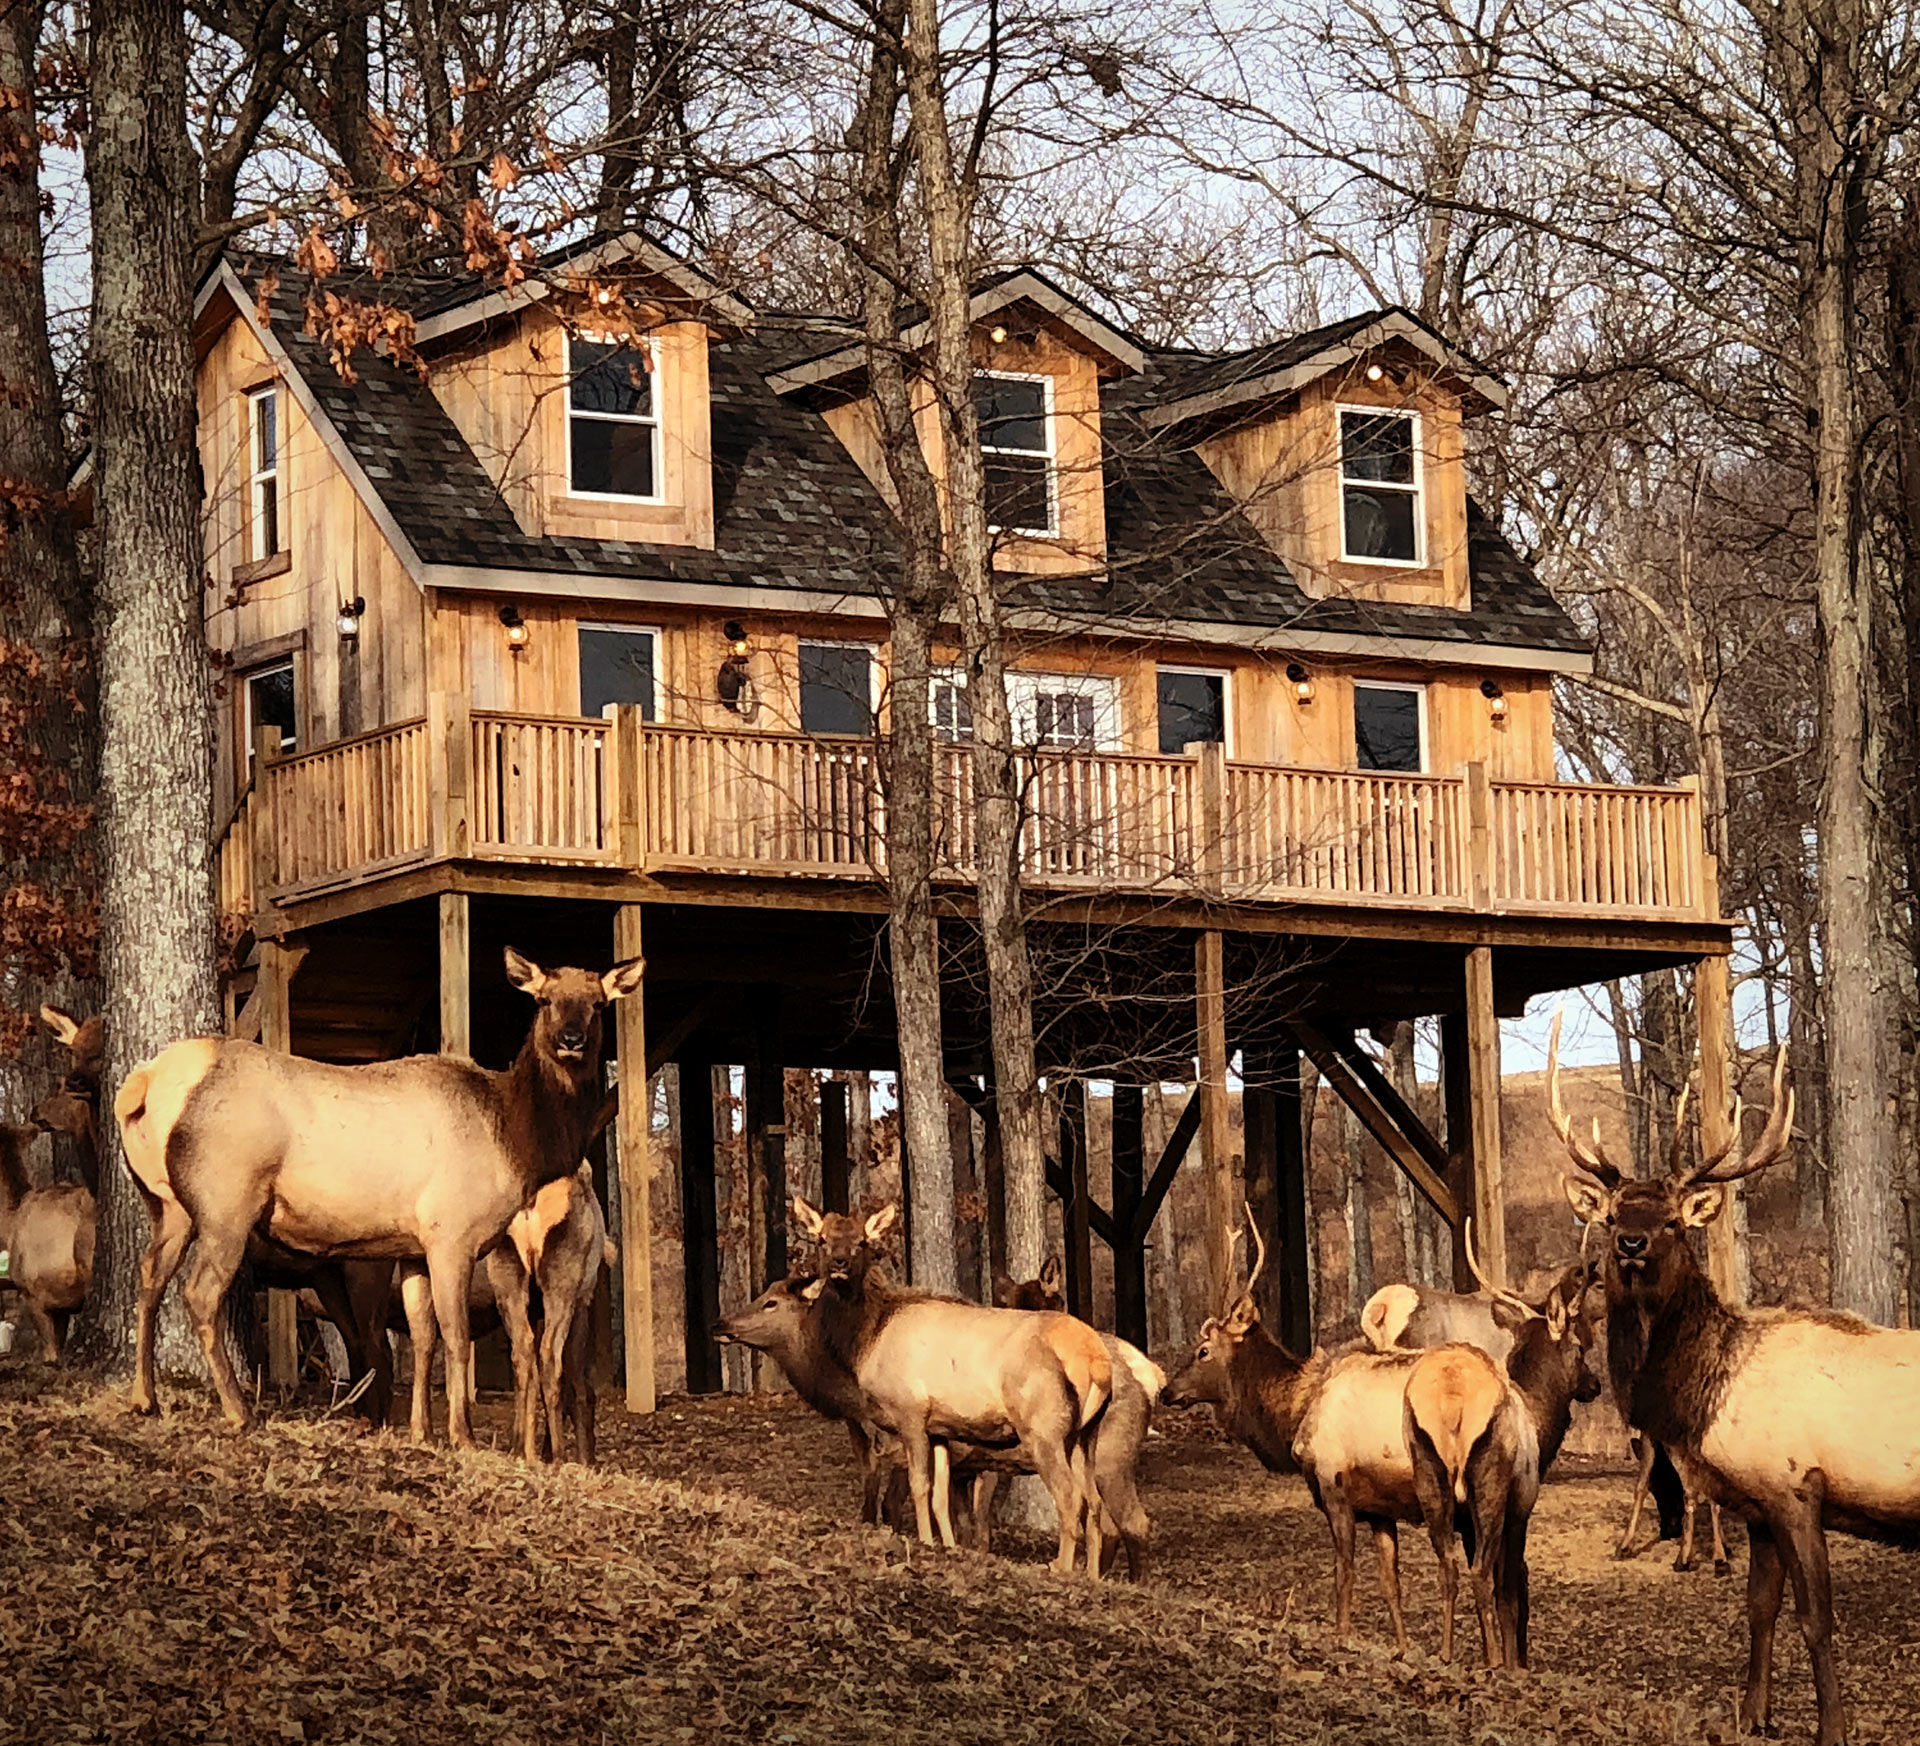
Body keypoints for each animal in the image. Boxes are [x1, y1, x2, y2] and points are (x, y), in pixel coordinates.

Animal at [112, 948, 637, 1436]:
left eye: (596, 1003)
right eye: (545, 1000)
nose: (572, 1040)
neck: (516, 1142)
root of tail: (142, 1084)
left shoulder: (412, 1249)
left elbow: (423, 1337)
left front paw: (423, 1433)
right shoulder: (451, 1233)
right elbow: (455, 1334)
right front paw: (462, 1435)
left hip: (166, 1203)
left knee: (149, 1275)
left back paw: (144, 1397)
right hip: (227, 1200)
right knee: (200, 1292)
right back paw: (239, 1410)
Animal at [791, 1198, 1121, 1582]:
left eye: (862, 1242)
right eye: (822, 1239)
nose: (840, 1263)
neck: (866, 1340)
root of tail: (1095, 1360)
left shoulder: (909, 1411)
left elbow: (920, 1487)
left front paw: (924, 1542)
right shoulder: (940, 1429)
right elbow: (940, 1497)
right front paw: (947, 1546)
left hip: (1043, 1427)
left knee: (1070, 1499)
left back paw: (1062, 1569)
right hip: (1085, 1433)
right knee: (1093, 1501)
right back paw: (1093, 1576)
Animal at [1397, 1221, 1605, 1667]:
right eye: (1579, 1346)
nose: (1593, 1385)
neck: (1541, 1422)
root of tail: (1452, 1403)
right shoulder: (1521, 1506)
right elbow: (1511, 1589)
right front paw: (1513, 1661)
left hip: (1429, 1477)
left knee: (1448, 1568)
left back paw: (1446, 1652)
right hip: (1489, 1486)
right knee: (1479, 1574)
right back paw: (1493, 1660)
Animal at [1551, 1006, 1912, 1744]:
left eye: (1669, 1220)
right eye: (1613, 1213)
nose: (1629, 1243)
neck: (1705, 1400)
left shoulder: (1795, 1485)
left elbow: (1816, 1620)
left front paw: (1832, 1729)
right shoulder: (1756, 1503)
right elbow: (1758, 1609)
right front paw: (1753, 1716)